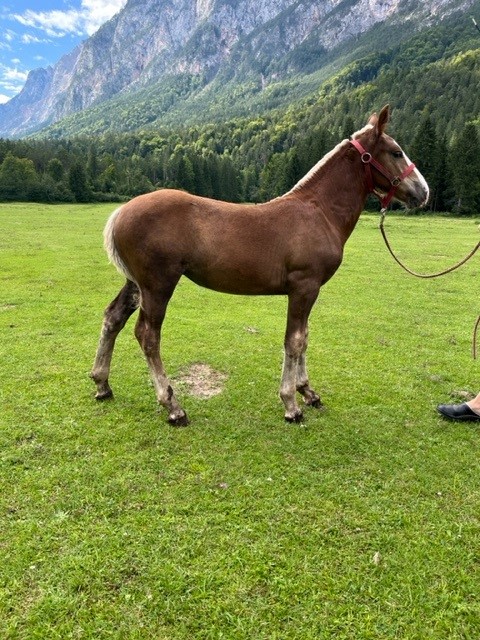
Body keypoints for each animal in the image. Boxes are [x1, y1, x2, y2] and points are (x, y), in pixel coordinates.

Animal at [92, 105, 430, 424]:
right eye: (396, 152)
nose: (423, 192)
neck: (319, 212)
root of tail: (121, 211)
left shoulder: (310, 290)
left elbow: (305, 337)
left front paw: (308, 391)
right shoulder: (304, 287)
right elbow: (294, 340)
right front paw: (291, 404)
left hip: (136, 283)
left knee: (113, 318)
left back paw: (102, 384)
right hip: (158, 285)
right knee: (148, 336)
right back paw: (173, 406)